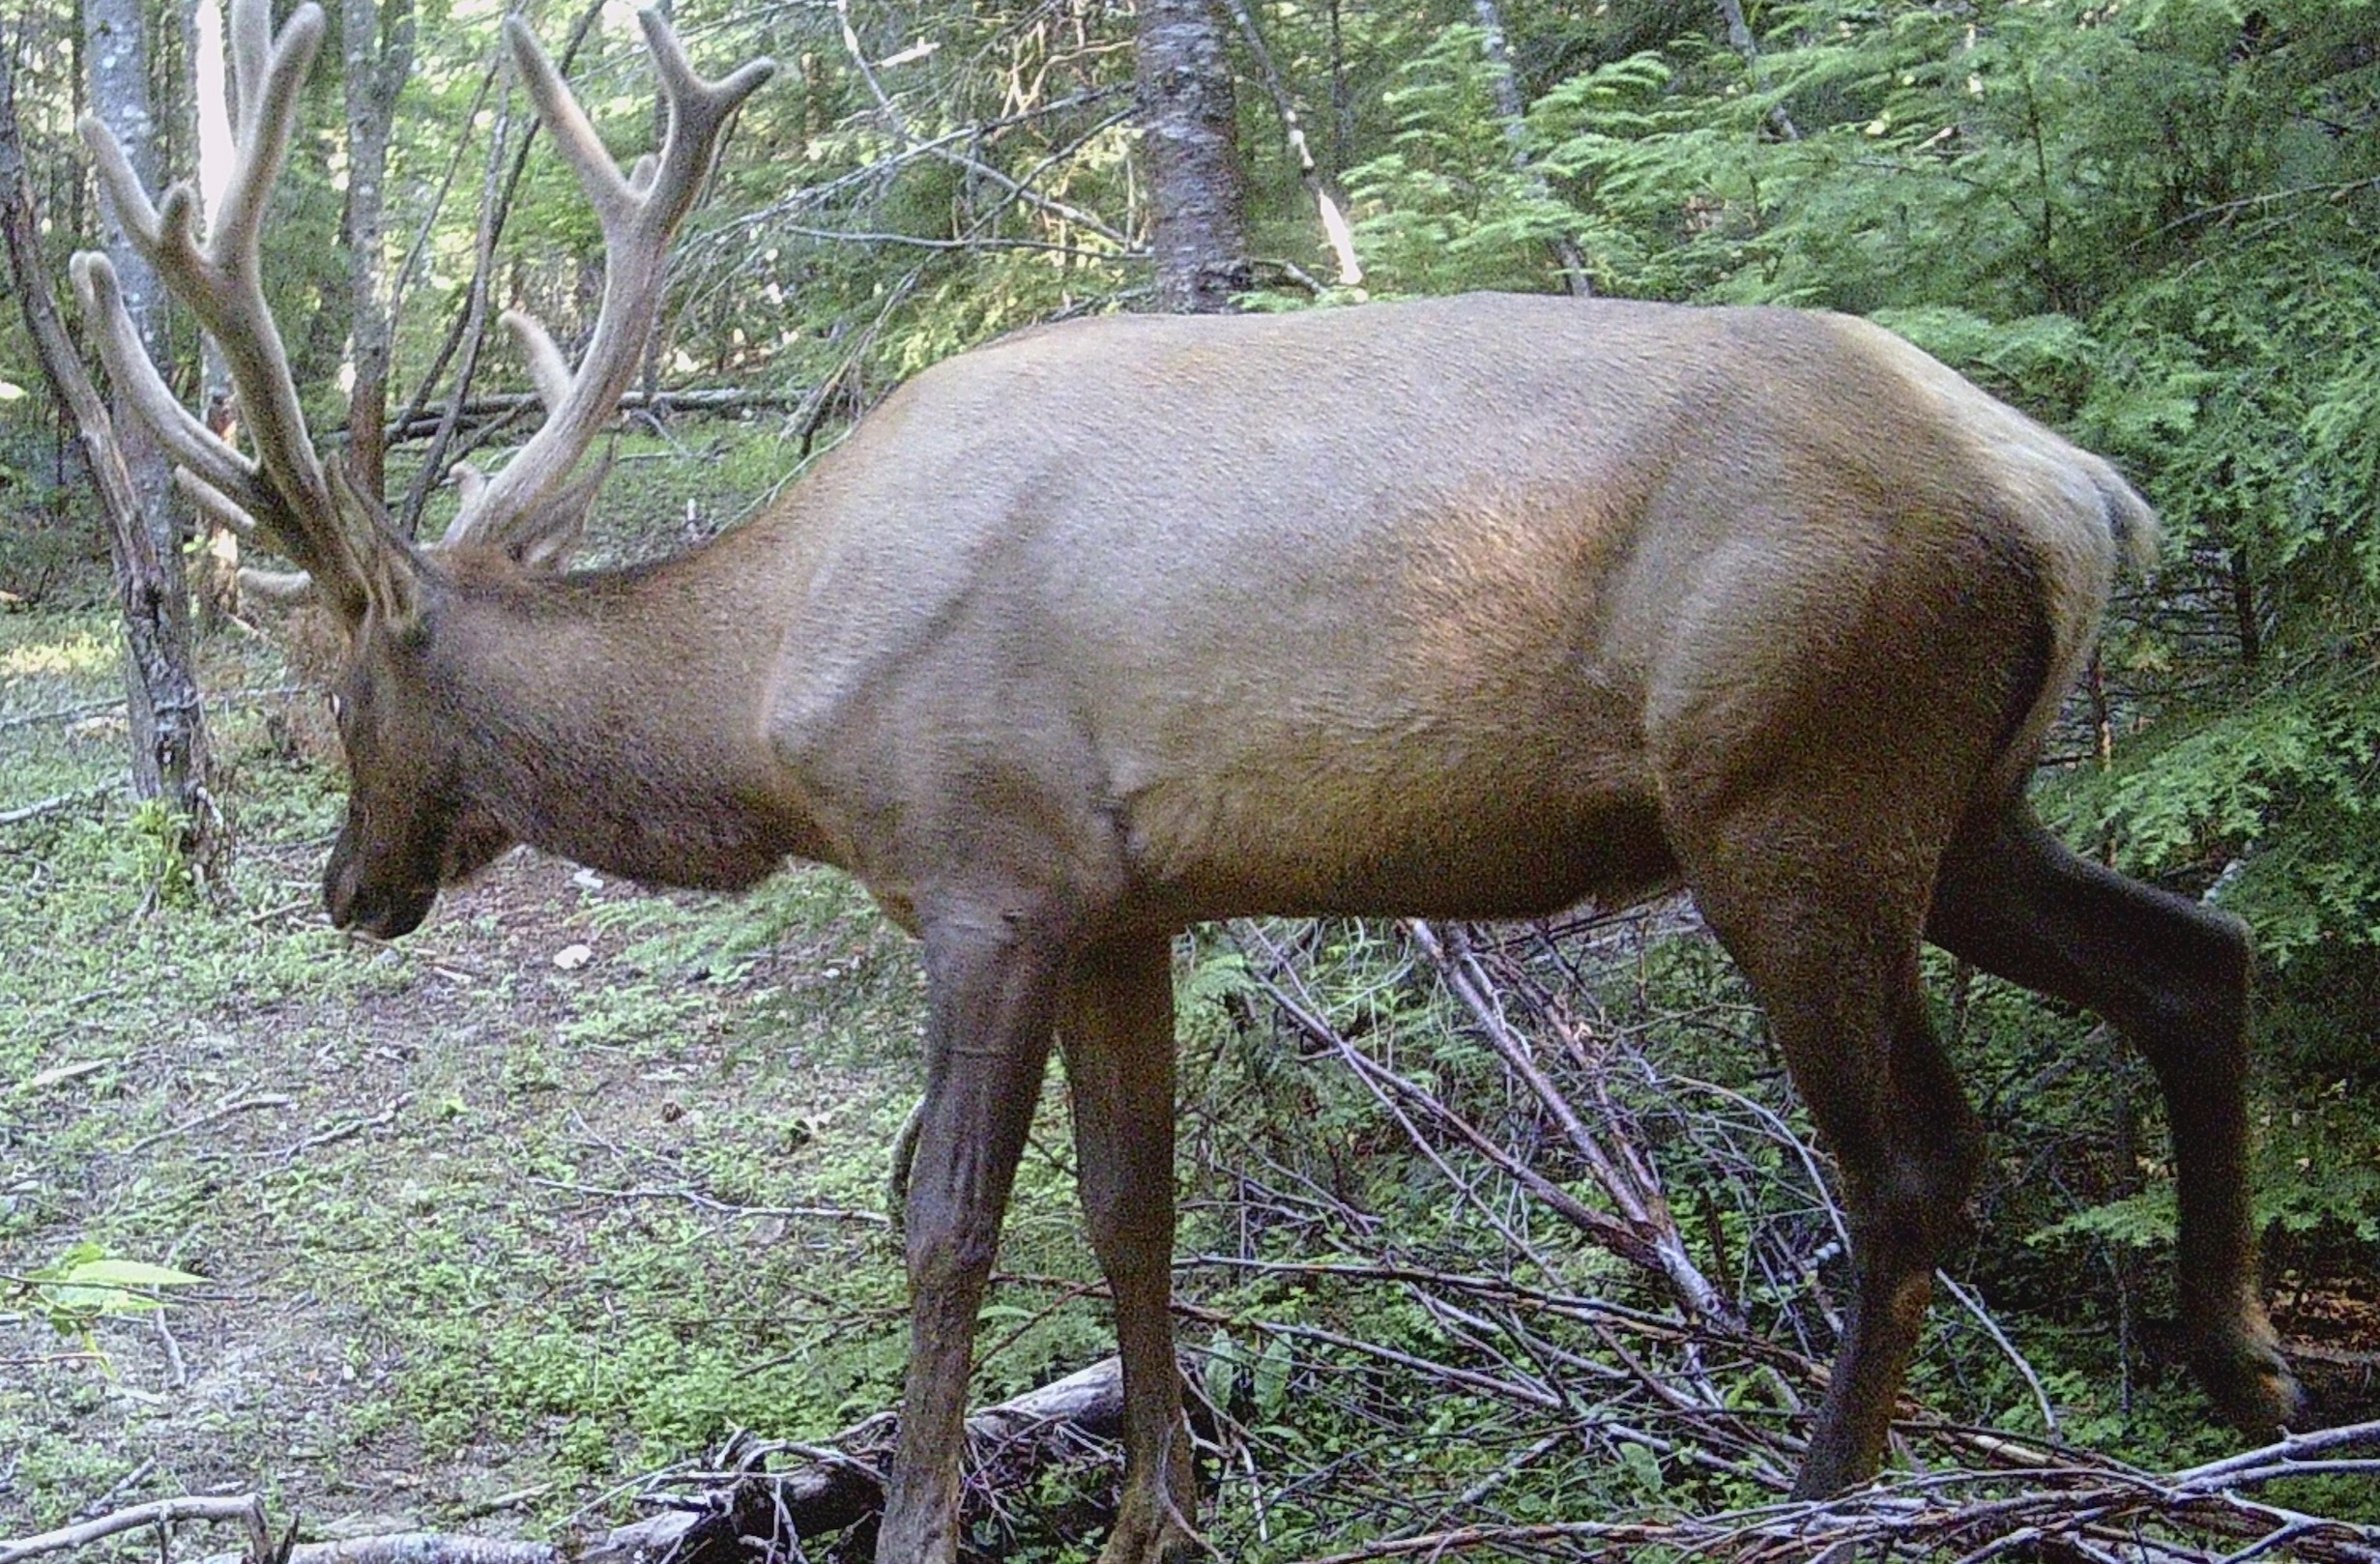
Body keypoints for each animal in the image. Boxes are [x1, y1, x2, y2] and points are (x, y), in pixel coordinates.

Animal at [78, 6, 2304, 1551]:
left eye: (332, 687)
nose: (344, 888)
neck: (780, 695)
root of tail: (2074, 488)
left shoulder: (986, 869)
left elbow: (949, 1217)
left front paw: (923, 1512)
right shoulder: (1122, 897)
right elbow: (1134, 1205)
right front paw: (1158, 1500)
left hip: (1795, 787)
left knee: (1915, 1153)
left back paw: (1824, 1479)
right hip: (1962, 802)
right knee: (2200, 956)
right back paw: (2247, 1359)